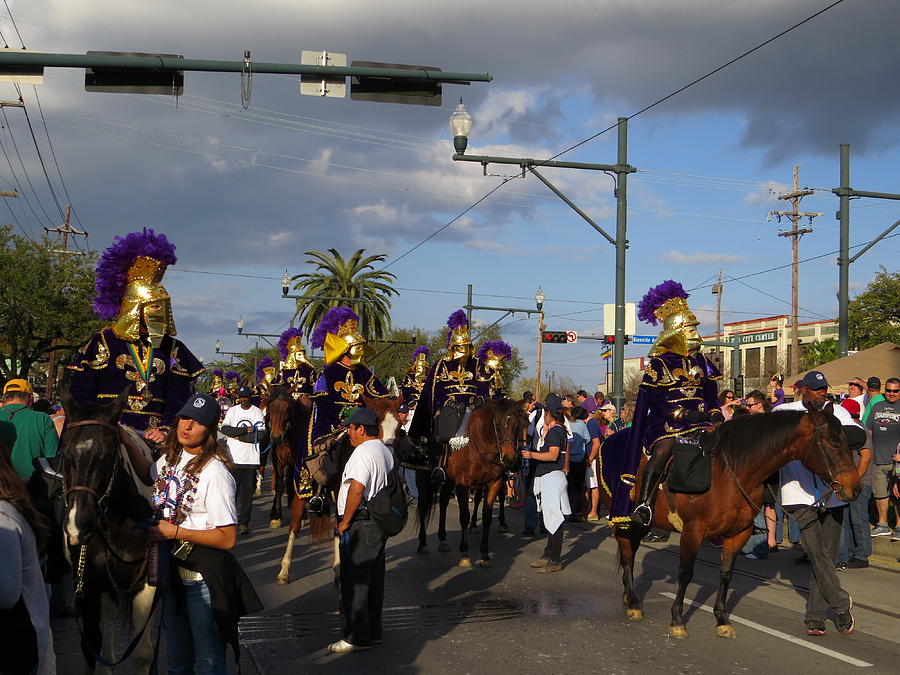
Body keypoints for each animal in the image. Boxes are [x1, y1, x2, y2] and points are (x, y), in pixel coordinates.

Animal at [58, 388, 158, 672]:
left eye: (107, 455)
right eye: (65, 453)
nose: (78, 524)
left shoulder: (146, 584)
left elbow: (142, 652)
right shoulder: (89, 583)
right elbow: (93, 648)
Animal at [274, 396, 400, 588]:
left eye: (400, 426)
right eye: (378, 425)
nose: (389, 459)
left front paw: (341, 569)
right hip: (301, 491)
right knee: (294, 527)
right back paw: (284, 571)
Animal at [416, 398, 528, 568]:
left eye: (517, 425)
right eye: (498, 424)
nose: (510, 459)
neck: (480, 444)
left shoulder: (494, 483)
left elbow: (487, 517)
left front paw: (485, 555)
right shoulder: (463, 484)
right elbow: (464, 516)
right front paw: (464, 554)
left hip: (449, 481)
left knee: (443, 504)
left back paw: (443, 540)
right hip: (424, 480)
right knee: (423, 506)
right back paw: (422, 543)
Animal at [608, 402, 860, 640]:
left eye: (847, 441)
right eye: (833, 443)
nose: (854, 488)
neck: (730, 474)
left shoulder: (739, 533)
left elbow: (726, 574)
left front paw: (721, 620)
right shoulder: (692, 531)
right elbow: (686, 573)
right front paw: (677, 620)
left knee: (631, 548)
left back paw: (628, 596)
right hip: (627, 516)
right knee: (627, 550)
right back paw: (633, 602)